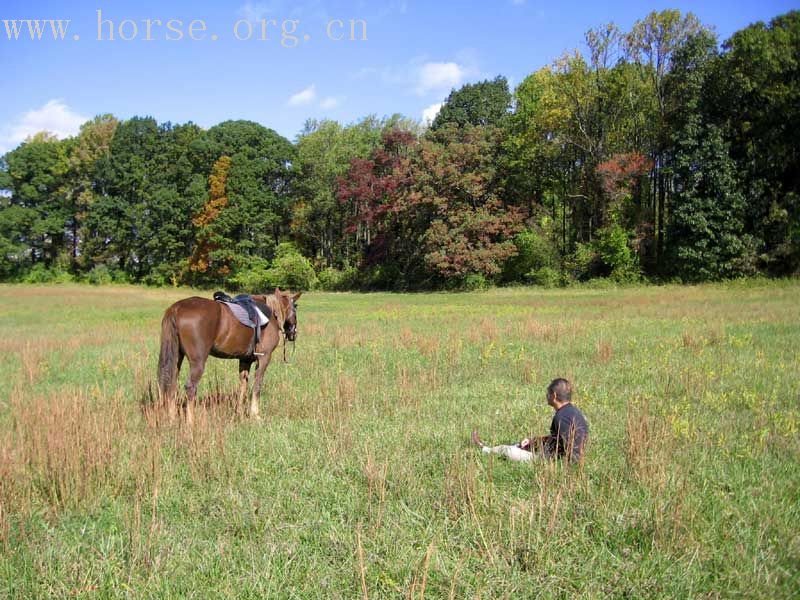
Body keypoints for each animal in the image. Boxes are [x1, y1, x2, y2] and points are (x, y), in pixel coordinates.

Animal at [156, 286, 300, 422]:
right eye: (296, 308)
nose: (293, 334)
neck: (272, 313)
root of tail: (176, 308)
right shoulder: (264, 358)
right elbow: (256, 386)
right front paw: (255, 415)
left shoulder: (245, 360)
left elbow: (243, 386)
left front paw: (240, 413)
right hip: (198, 362)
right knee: (190, 387)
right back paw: (191, 422)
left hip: (177, 358)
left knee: (171, 385)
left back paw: (172, 418)